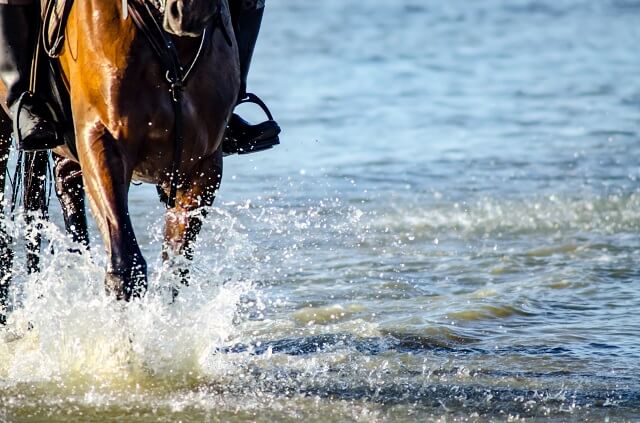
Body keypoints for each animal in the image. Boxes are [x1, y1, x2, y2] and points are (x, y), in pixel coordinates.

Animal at [0, 0, 240, 306]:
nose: (190, 12)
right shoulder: (102, 141)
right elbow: (125, 267)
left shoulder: (202, 166)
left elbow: (175, 270)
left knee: (68, 189)